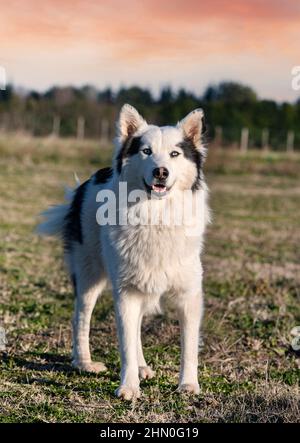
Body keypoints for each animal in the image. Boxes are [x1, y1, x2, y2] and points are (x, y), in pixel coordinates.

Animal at [37, 105, 210, 402]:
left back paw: (141, 367)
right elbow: (126, 343)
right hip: (89, 274)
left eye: (175, 154)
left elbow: (188, 345)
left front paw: (188, 385)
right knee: (81, 316)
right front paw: (128, 387)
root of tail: (89, 181)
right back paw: (85, 363)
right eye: (146, 151)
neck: (156, 216)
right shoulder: (126, 292)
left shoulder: (187, 294)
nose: (161, 172)